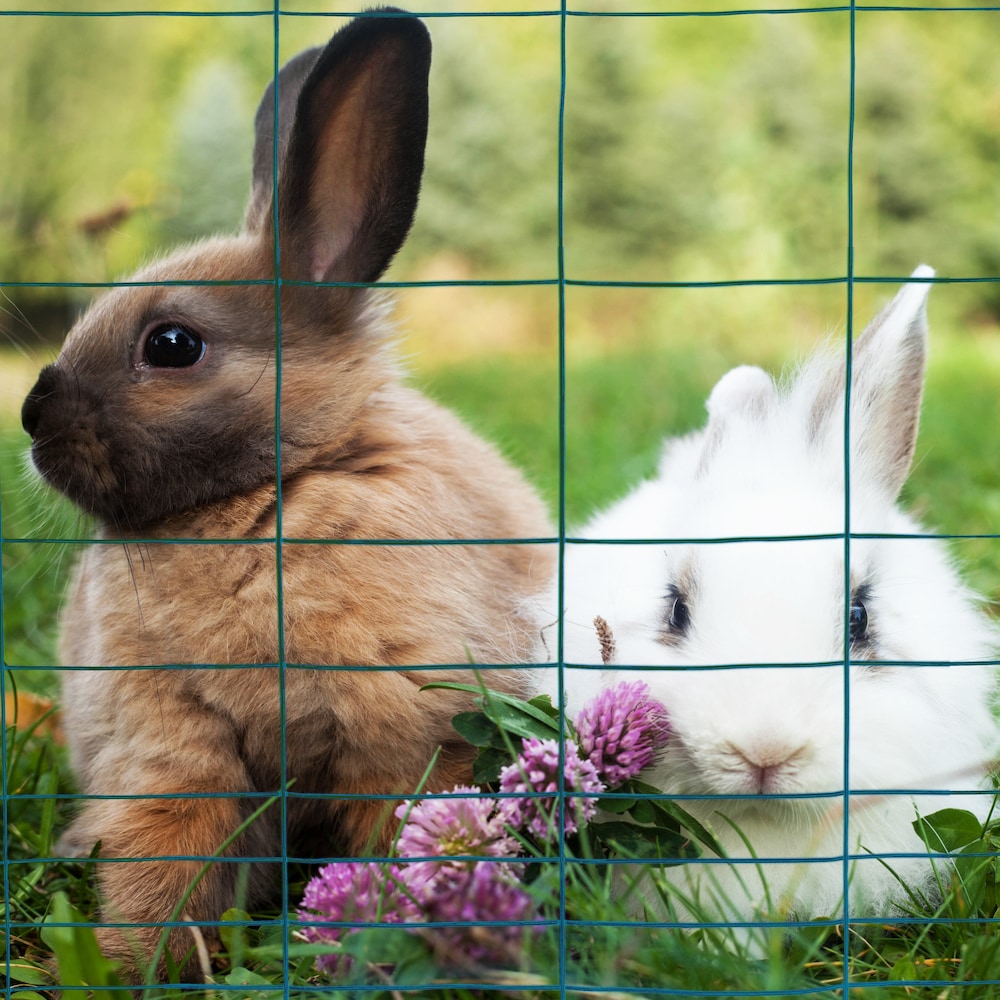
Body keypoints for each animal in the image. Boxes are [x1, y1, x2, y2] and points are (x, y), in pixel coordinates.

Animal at [20, 9, 553, 981]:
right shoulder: (172, 744)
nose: (33, 417)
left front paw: (383, 936)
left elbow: (396, 837)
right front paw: (139, 961)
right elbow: (169, 845)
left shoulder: (404, 739)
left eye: (173, 344)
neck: (263, 495)